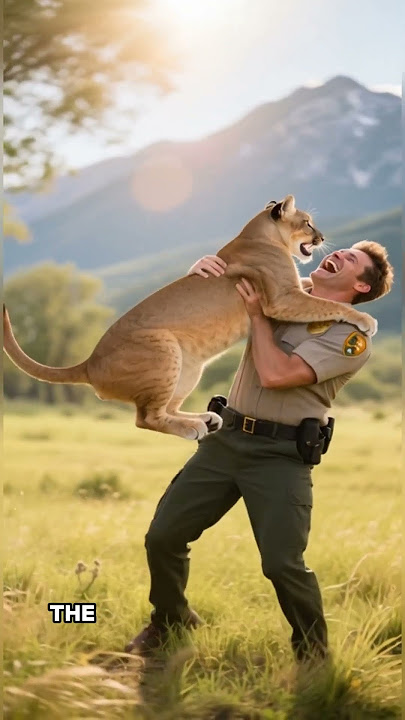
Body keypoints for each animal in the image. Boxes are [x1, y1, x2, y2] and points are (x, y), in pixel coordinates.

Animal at [3, 194, 376, 440]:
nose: (323, 237)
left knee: (162, 410)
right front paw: (365, 320)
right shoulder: (283, 299)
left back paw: (205, 418)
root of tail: (89, 363)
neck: (260, 236)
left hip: (190, 366)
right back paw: (193, 427)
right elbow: (328, 304)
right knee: (146, 418)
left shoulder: (291, 293)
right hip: (165, 348)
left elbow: (315, 291)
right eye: (308, 222)